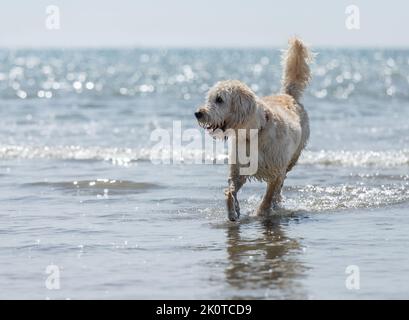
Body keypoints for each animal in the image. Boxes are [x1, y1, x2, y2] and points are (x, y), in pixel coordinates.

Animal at [194, 37, 312, 221]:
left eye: (219, 99)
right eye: (210, 98)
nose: (198, 113)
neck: (253, 133)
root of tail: (288, 95)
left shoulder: (276, 169)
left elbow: (269, 194)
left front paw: (261, 212)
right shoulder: (238, 169)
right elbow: (230, 190)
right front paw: (233, 210)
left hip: (292, 158)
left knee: (281, 184)